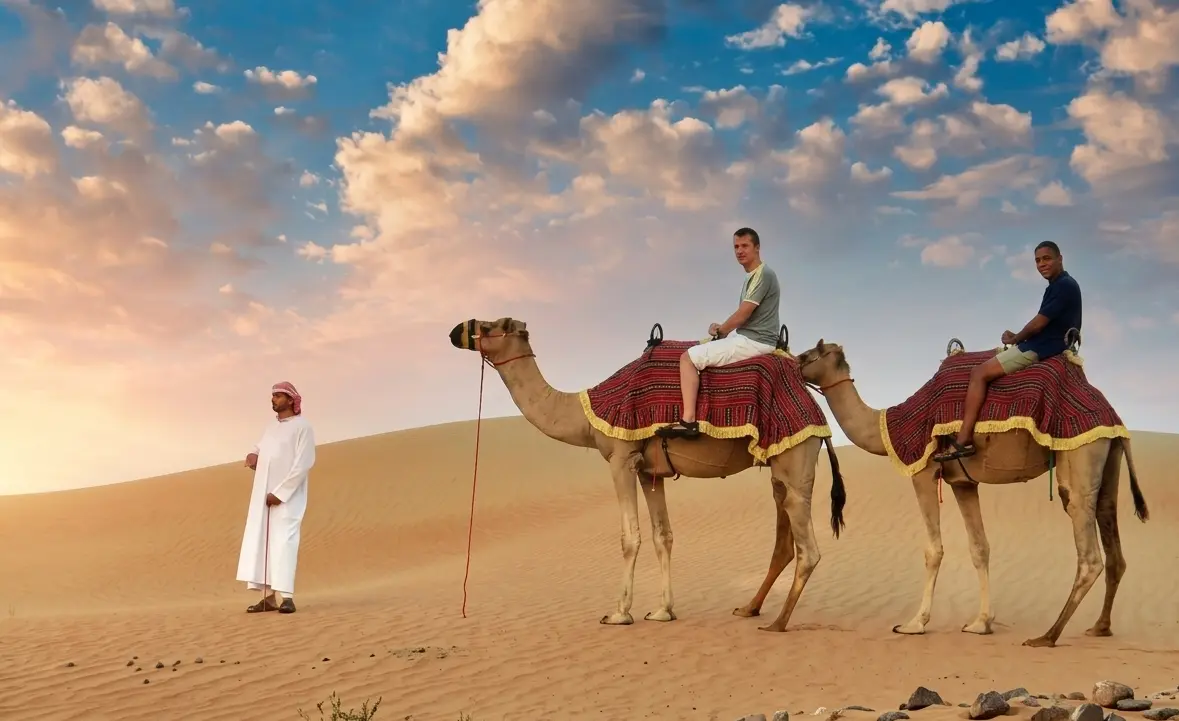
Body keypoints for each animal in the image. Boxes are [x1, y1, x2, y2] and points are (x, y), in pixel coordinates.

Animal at [448, 316, 847, 631]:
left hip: (795, 459)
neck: (588, 413)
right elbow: (663, 536)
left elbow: (630, 538)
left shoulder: (621, 457)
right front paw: (662, 611)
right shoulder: (650, 471)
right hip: (782, 466)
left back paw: (777, 623)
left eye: (491, 326)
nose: (455, 331)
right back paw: (750, 609)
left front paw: (619, 613)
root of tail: (813, 403)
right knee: (786, 538)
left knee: (808, 548)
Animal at [795, 338, 1149, 648]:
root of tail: (1114, 417)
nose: (792, 362)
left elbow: (933, 550)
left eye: (809, 355)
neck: (888, 427)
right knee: (1112, 537)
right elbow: (980, 548)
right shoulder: (963, 483)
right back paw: (1100, 627)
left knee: (1088, 551)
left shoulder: (924, 471)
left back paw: (1047, 636)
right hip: (1108, 458)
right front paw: (981, 623)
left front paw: (914, 623)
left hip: (1079, 455)